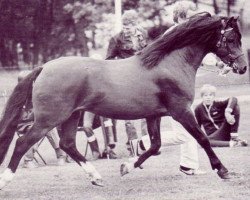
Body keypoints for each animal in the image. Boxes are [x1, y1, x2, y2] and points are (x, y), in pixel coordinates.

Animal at [0, 13, 247, 188]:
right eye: (231, 38)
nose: (243, 67)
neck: (168, 63)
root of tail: (43, 67)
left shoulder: (154, 115)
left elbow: (154, 145)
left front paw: (126, 167)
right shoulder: (181, 111)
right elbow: (202, 139)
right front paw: (223, 171)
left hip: (71, 116)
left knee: (67, 144)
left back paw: (96, 177)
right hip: (48, 120)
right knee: (23, 143)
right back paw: (6, 179)